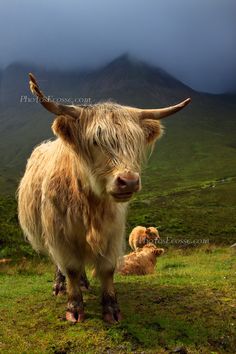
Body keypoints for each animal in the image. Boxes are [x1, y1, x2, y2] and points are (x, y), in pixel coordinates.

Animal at [17, 73, 190, 322]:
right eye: (95, 141)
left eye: (134, 141)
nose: (128, 181)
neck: (91, 204)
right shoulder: (59, 234)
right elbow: (69, 267)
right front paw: (74, 307)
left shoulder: (113, 231)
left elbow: (107, 269)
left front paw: (111, 309)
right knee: (59, 264)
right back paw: (60, 286)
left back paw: (84, 283)